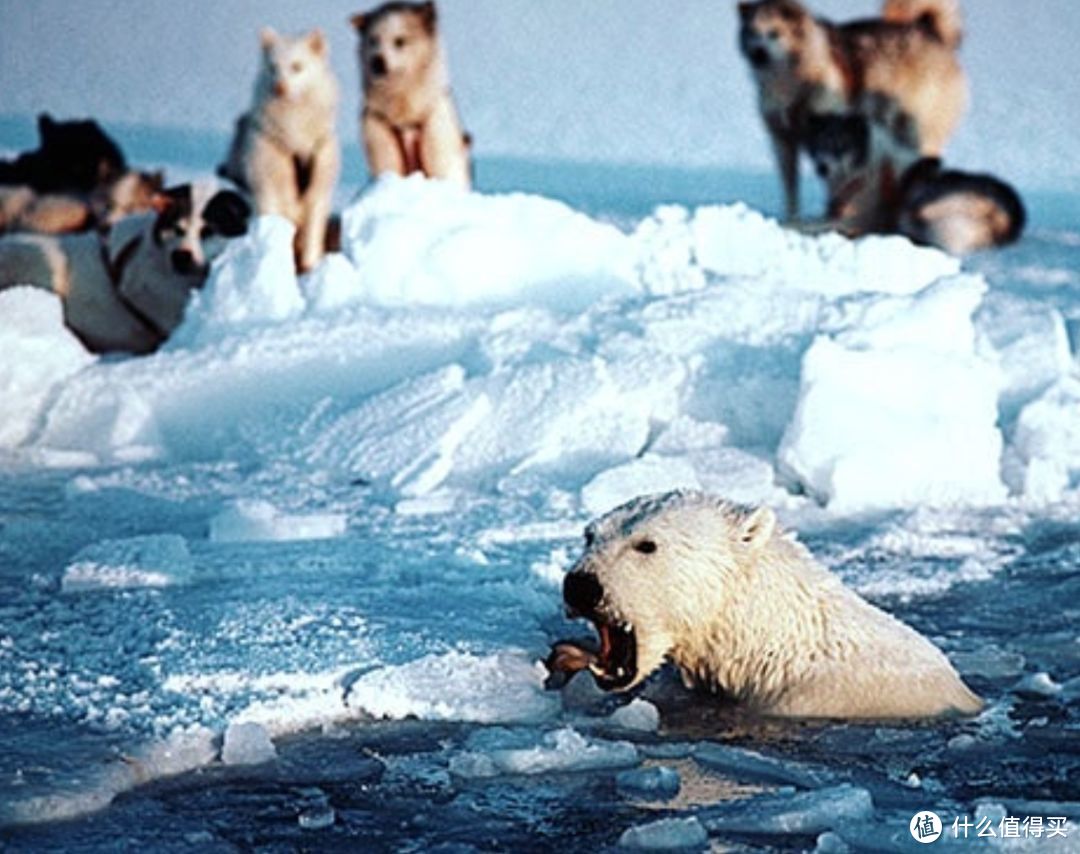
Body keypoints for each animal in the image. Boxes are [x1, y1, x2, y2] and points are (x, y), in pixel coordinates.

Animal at [218, 28, 336, 272]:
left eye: (297, 67)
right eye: (273, 67)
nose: (278, 87)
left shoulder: (318, 192)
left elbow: (312, 239)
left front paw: (311, 267)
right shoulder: (267, 188)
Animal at [352, 1, 470, 188]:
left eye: (400, 41)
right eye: (373, 40)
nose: (377, 62)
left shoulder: (437, 126)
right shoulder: (377, 127)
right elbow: (387, 164)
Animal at [738, 0, 967, 223]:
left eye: (774, 33)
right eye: (751, 32)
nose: (757, 53)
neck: (791, 82)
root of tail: (932, 33)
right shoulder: (783, 140)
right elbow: (790, 188)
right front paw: (791, 217)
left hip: (917, 134)